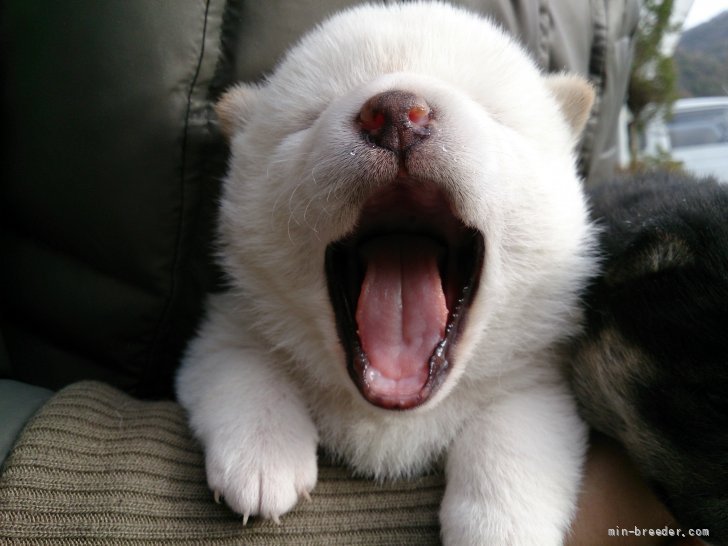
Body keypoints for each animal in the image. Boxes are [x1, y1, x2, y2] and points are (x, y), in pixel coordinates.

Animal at [176, 2, 596, 540]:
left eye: (492, 112)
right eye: (309, 115)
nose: (396, 112)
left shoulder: (538, 376)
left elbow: (513, 435)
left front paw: (499, 526)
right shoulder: (227, 325)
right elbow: (244, 366)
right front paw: (263, 456)